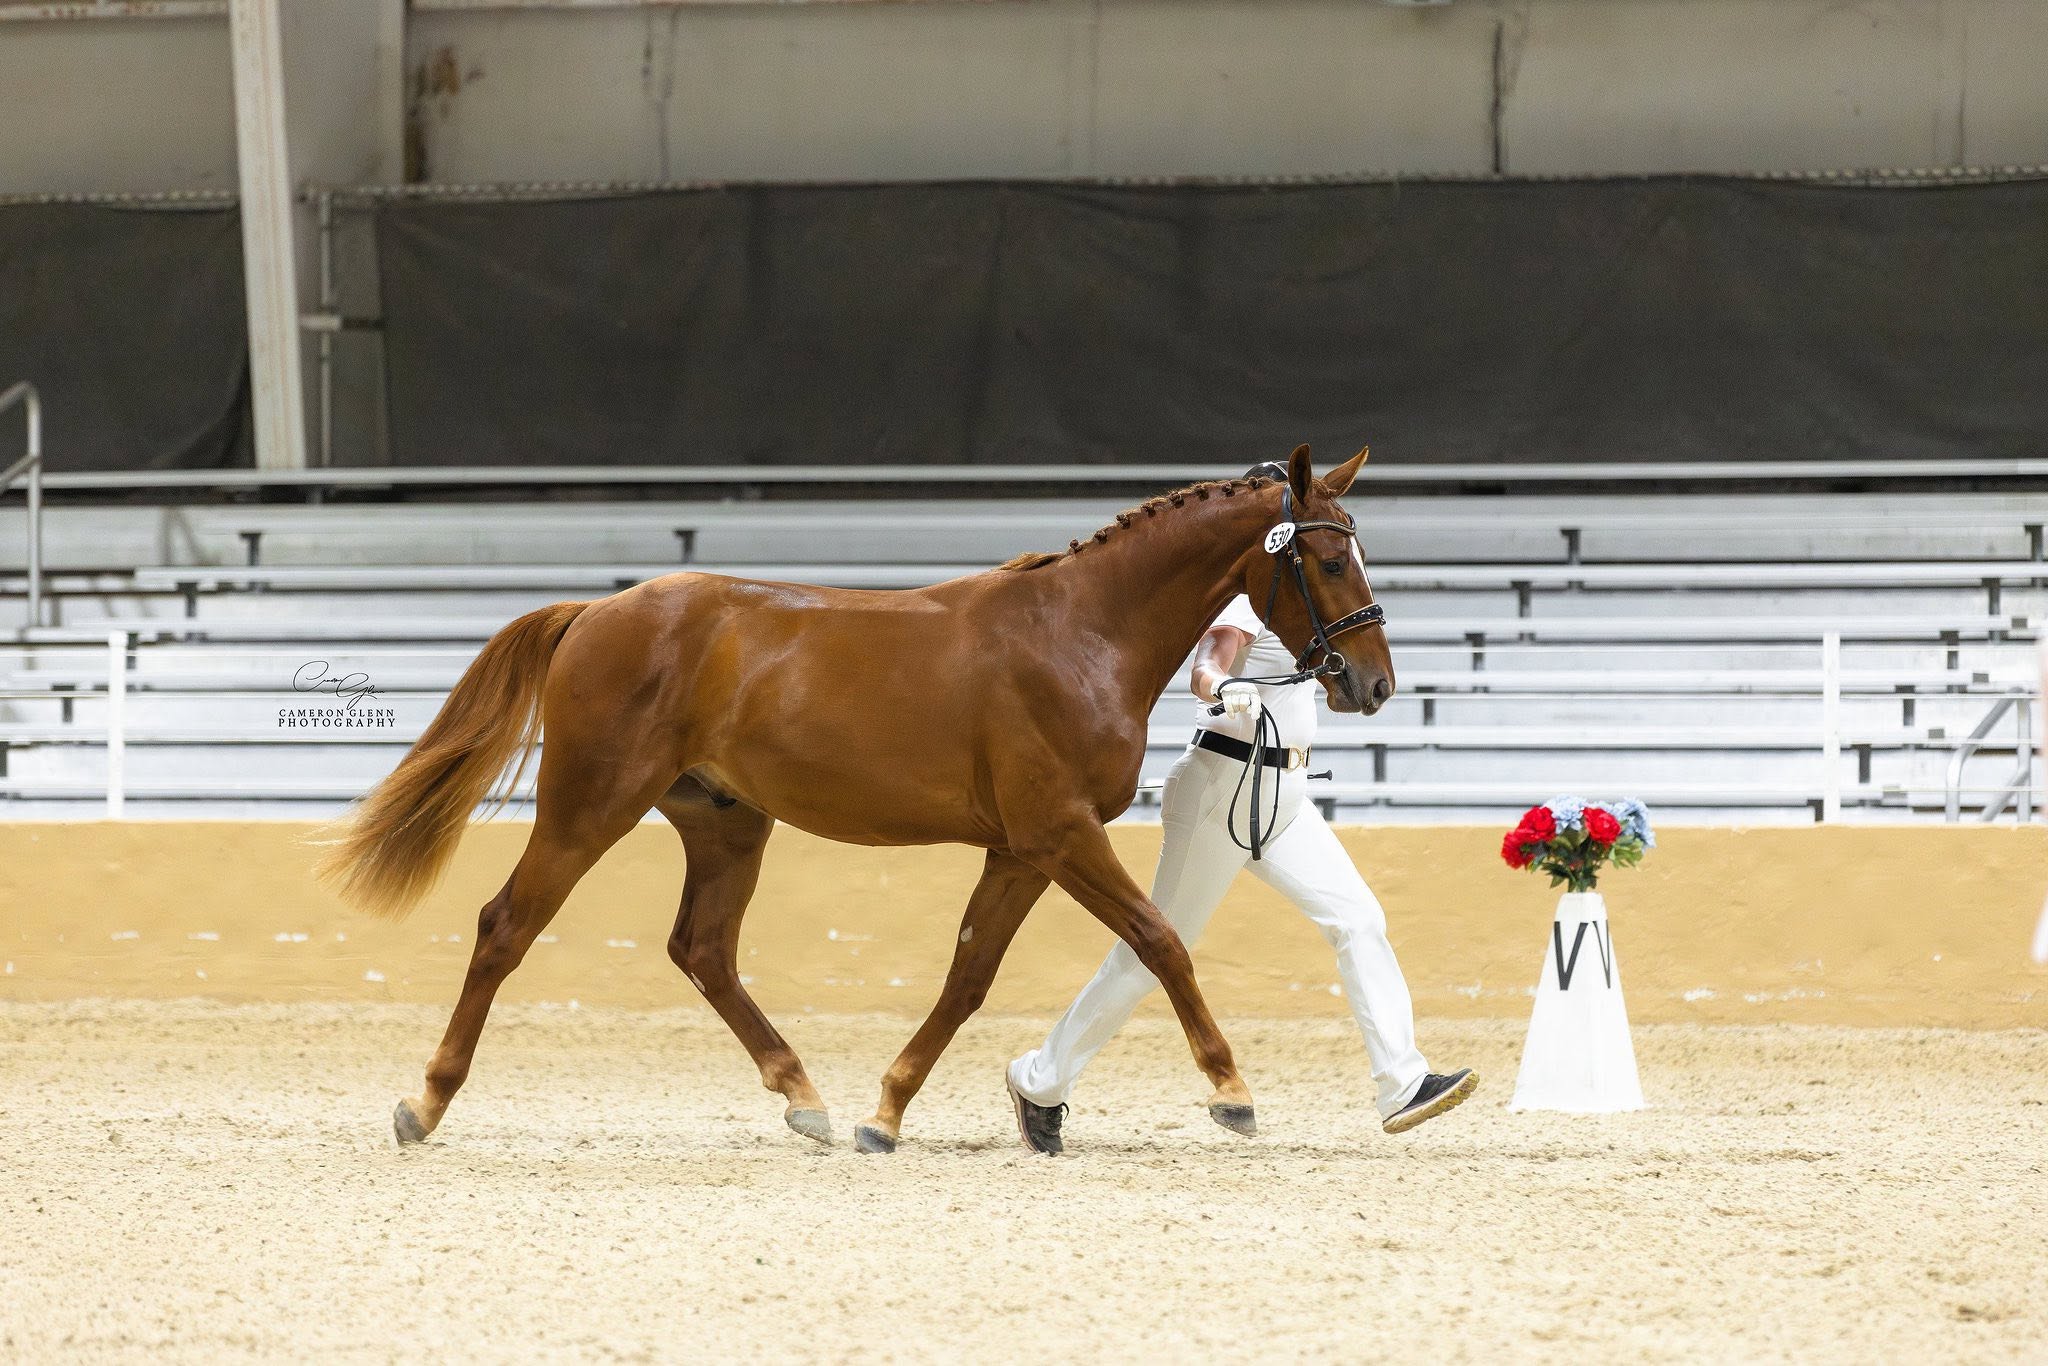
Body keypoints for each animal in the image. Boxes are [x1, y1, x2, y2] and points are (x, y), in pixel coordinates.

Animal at [316, 442, 1395, 1153]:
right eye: (1327, 556)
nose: (1370, 683)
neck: (1080, 633)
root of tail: (597, 611)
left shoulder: (1021, 847)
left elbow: (969, 976)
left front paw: (889, 1111)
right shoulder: (1059, 832)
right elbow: (1159, 939)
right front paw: (1231, 1089)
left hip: (725, 823)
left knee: (702, 950)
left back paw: (805, 1098)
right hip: (589, 808)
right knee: (507, 925)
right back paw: (424, 1104)